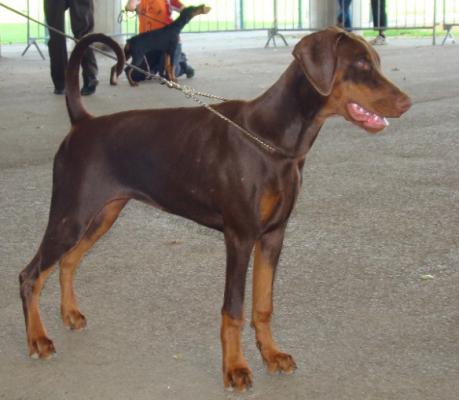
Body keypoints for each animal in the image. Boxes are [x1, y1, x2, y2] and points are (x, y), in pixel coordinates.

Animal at [19, 28, 412, 390]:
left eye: (376, 61)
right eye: (360, 65)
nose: (407, 103)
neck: (273, 139)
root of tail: (82, 122)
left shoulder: (273, 235)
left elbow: (263, 304)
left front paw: (271, 354)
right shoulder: (240, 236)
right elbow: (233, 309)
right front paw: (236, 368)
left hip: (103, 213)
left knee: (68, 261)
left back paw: (70, 314)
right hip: (71, 214)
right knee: (31, 274)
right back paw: (38, 339)